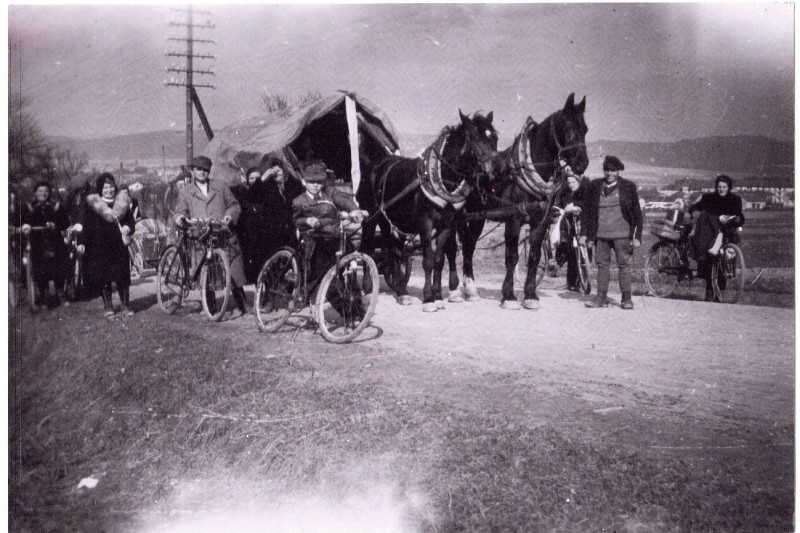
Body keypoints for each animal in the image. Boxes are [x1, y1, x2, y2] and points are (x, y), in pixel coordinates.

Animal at [358, 112, 496, 312]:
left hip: (391, 221)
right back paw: (369, 288)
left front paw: (438, 296)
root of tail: (375, 164)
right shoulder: (425, 223)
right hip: (371, 218)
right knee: (369, 248)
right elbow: (428, 260)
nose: (491, 174)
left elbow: (439, 259)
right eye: (474, 138)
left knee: (394, 252)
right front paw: (428, 298)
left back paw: (401, 291)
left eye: (494, 138)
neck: (441, 177)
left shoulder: (447, 225)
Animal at [444, 92, 588, 308]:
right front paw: (509, 296)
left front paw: (530, 295)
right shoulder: (514, 219)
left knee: (469, 246)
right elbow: (512, 257)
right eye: (568, 128)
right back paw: (456, 291)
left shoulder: (540, 221)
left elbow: (534, 256)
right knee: (453, 248)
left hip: (477, 218)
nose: (582, 163)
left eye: (585, 129)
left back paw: (470, 289)